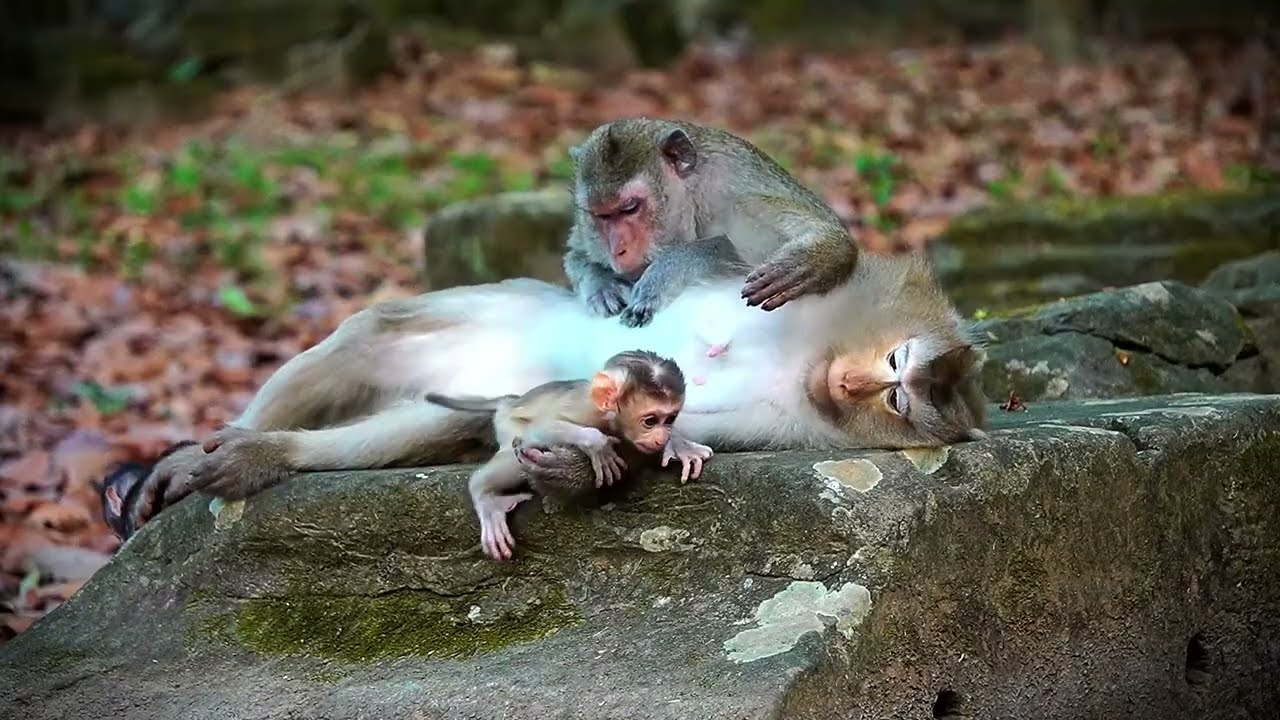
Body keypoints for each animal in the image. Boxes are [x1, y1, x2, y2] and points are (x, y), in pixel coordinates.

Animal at [424, 350, 712, 560]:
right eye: (650, 421)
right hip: (507, 424)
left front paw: (679, 445)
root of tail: (510, 400)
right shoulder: (586, 410)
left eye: (670, 419)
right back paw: (485, 495)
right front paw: (596, 444)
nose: (661, 437)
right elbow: (541, 428)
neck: (611, 418)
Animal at [562, 117, 858, 328]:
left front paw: (663, 272)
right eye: (601, 215)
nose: (617, 250)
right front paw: (601, 284)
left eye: (630, 208)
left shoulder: (733, 183)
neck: (694, 194)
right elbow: (575, 254)